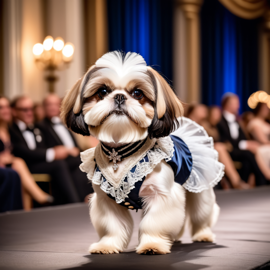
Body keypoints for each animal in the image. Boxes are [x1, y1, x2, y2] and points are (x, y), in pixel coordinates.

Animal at [61, 51, 224, 255]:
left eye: (137, 93)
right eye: (103, 92)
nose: (120, 97)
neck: (120, 152)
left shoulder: (161, 195)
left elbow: (154, 223)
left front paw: (152, 245)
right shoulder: (106, 201)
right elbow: (112, 226)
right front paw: (107, 245)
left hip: (200, 190)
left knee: (201, 214)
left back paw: (203, 235)